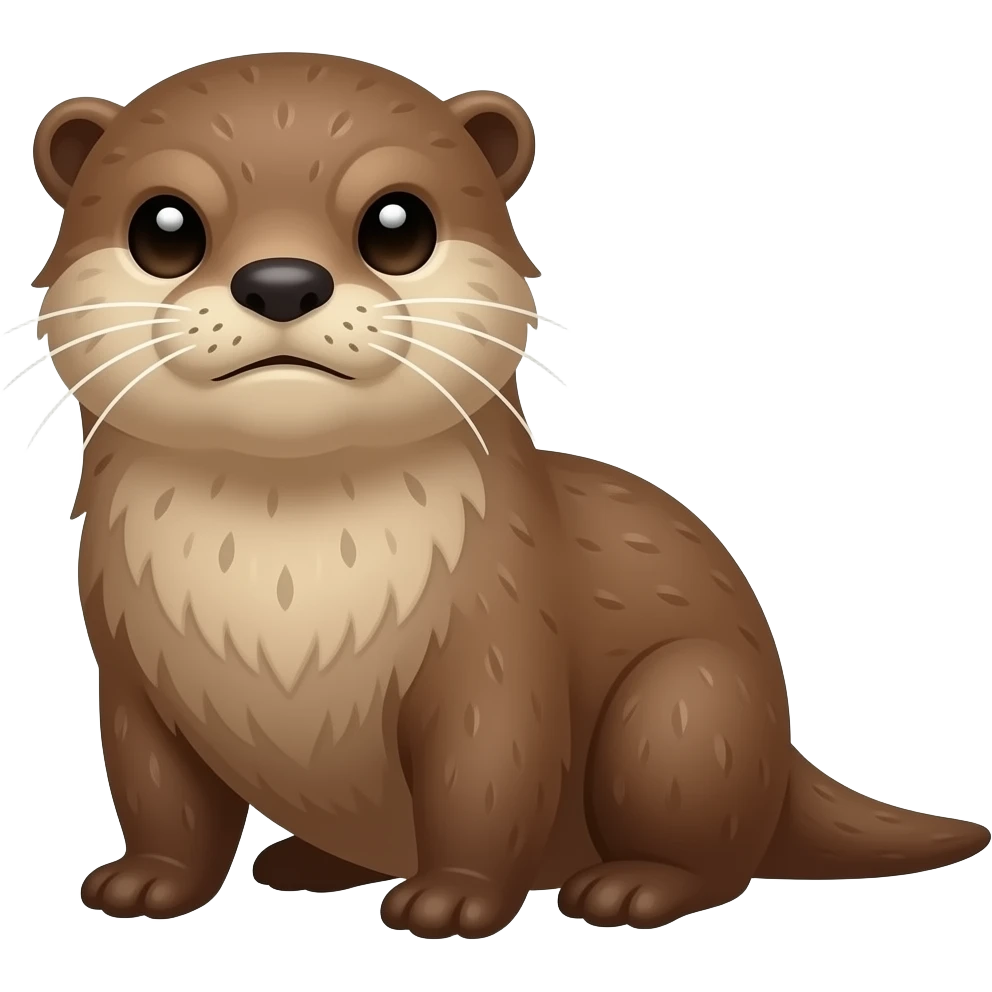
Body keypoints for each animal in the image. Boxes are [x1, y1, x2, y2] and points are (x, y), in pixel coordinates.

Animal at [25, 52, 987, 937]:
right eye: (164, 227)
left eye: (398, 223)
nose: (283, 282)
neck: (286, 586)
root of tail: (783, 754)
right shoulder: (129, 670)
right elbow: (161, 794)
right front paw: (148, 883)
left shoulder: (498, 637)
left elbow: (487, 777)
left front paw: (454, 900)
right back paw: (307, 861)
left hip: (688, 708)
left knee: (716, 852)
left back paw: (635, 888)